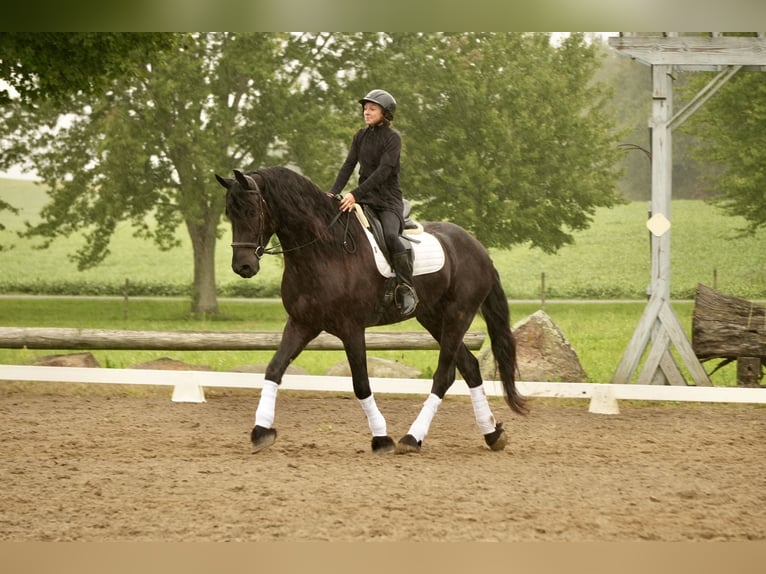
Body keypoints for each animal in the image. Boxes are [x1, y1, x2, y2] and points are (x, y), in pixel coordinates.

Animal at [215, 166, 527, 454]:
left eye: (251, 209)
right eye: (229, 213)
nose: (243, 267)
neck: (323, 250)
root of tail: (479, 249)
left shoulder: (351, 328)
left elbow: (361, 383)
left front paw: (381, 438)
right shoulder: (302, 323)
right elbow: (274, 369)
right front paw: (261, 431)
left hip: (457, 316)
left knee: (443, 376)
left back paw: (411, 438)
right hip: (433, 318)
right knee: (469, 368)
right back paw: (491, 434)